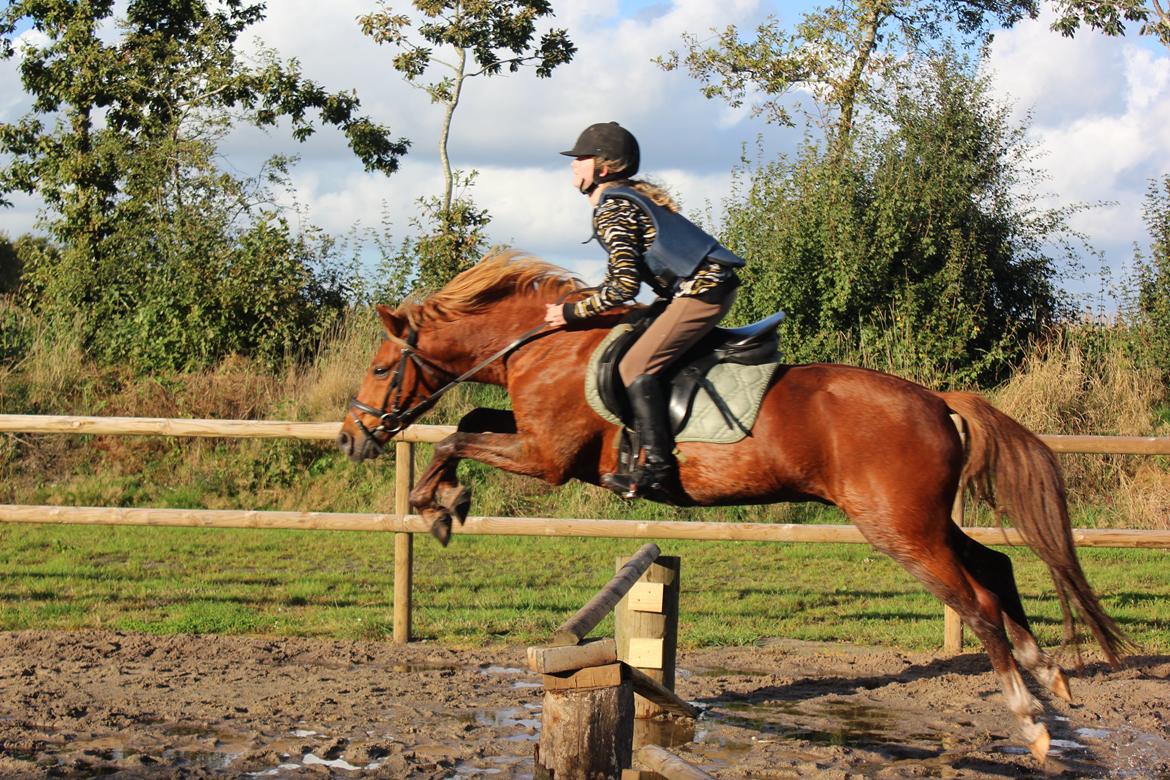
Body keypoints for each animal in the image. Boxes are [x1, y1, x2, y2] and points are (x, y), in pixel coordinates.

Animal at [336, 251, 1123, 762]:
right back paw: (1051, 676)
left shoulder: (547, 458)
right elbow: (472, 421)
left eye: (379, 367)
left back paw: (1031, 722)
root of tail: (937, 400)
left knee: (977, 602)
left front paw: (438, 505)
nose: (351, 437)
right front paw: (443, 502)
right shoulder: (538, 442)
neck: (545, 344)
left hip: (897, 528)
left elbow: (457, 434)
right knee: (995, 567)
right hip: (921, 521)